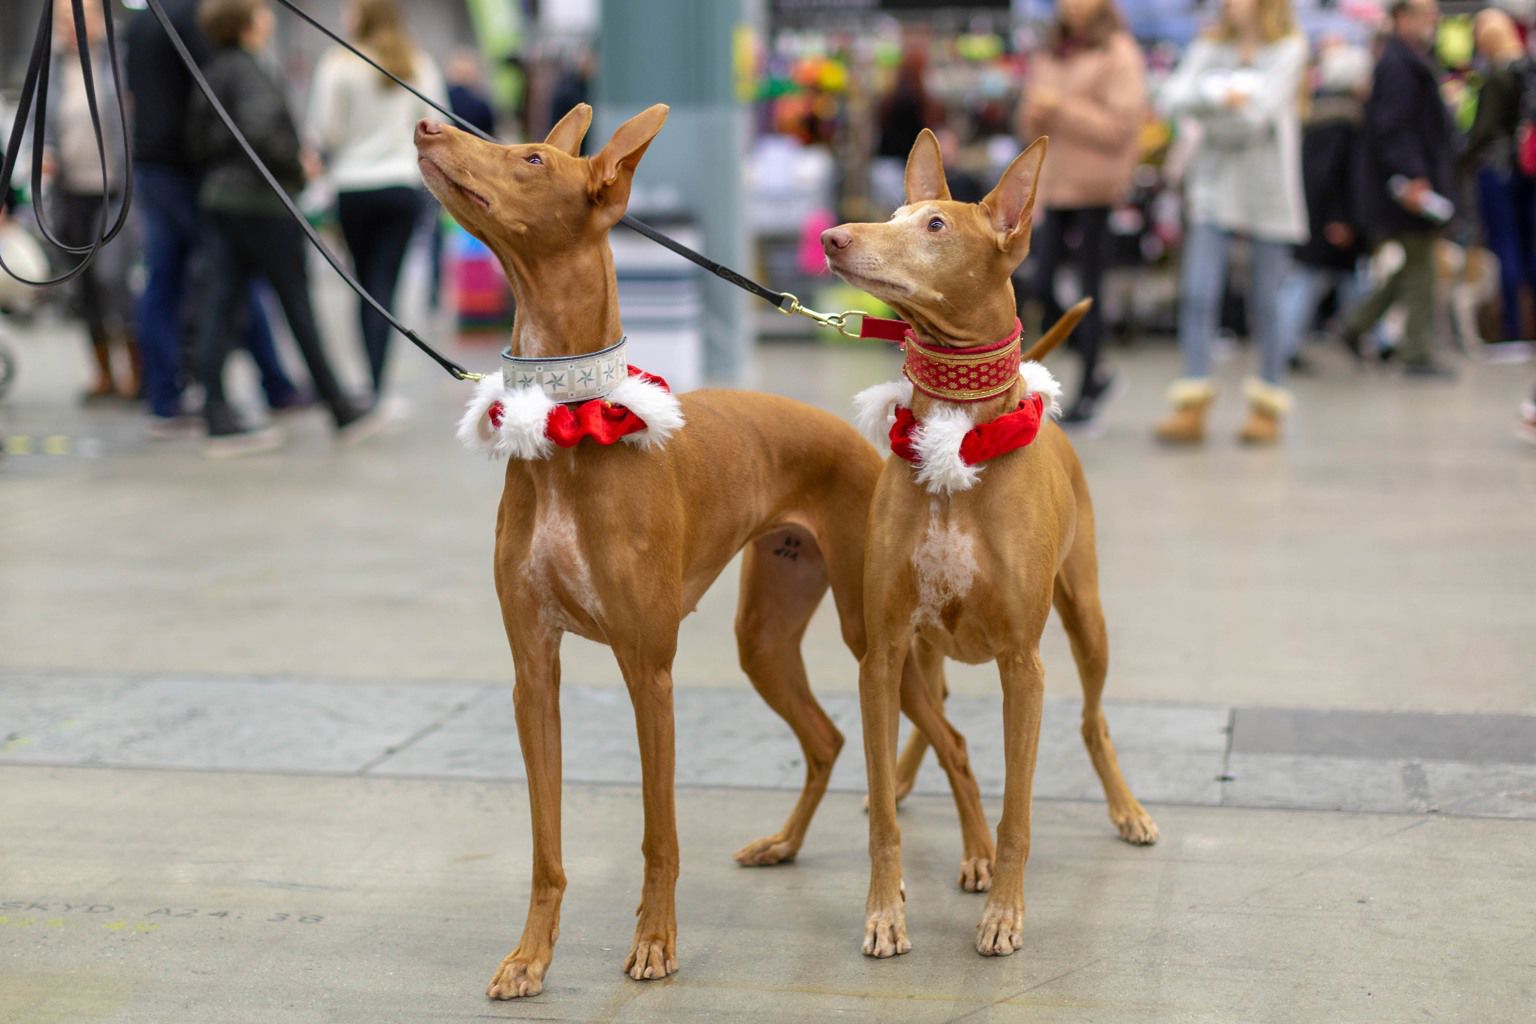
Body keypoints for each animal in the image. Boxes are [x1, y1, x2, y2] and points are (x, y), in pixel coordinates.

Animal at [823, 128, 1155, 964]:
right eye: (894, 213)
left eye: (936, 226)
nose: (833, 237)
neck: (957, 429)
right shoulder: (881, 650)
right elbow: (887, 808)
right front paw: (884, 911)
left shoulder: (1022, 665)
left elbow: (1019, 813)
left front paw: (1005, 914)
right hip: (922, 646)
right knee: (943, 731)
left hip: (1086, 618)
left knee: (1092, 721)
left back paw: (1127, 812)